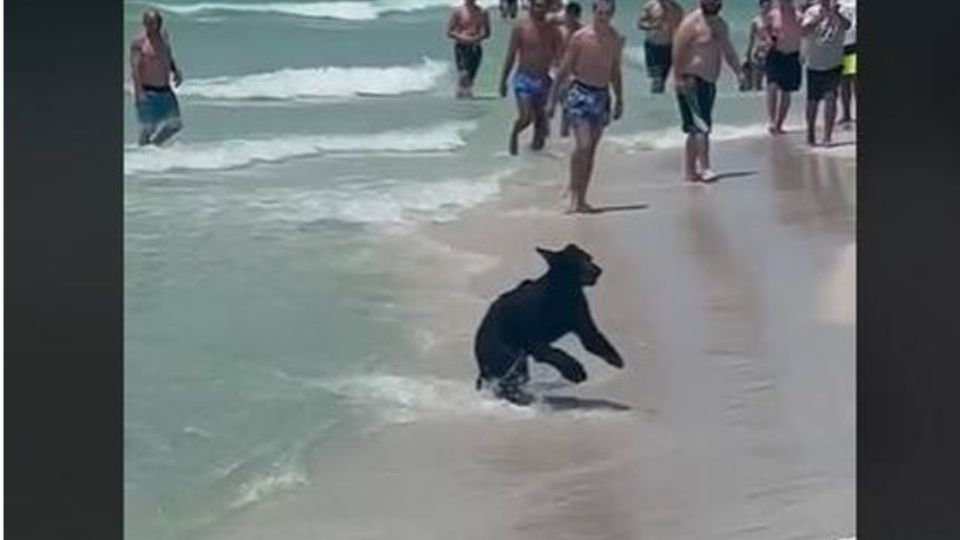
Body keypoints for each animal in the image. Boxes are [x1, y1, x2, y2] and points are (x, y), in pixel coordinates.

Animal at [472, 245, 624, 404]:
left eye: (589, 258)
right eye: (578, 261)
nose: (598, 270)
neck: (563, 291)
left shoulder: (585, 328)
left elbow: (595, 342)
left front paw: (614, 358)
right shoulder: (535, 342)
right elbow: (556, 354)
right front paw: (575, 371)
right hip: (508, 355)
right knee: (508, 382)